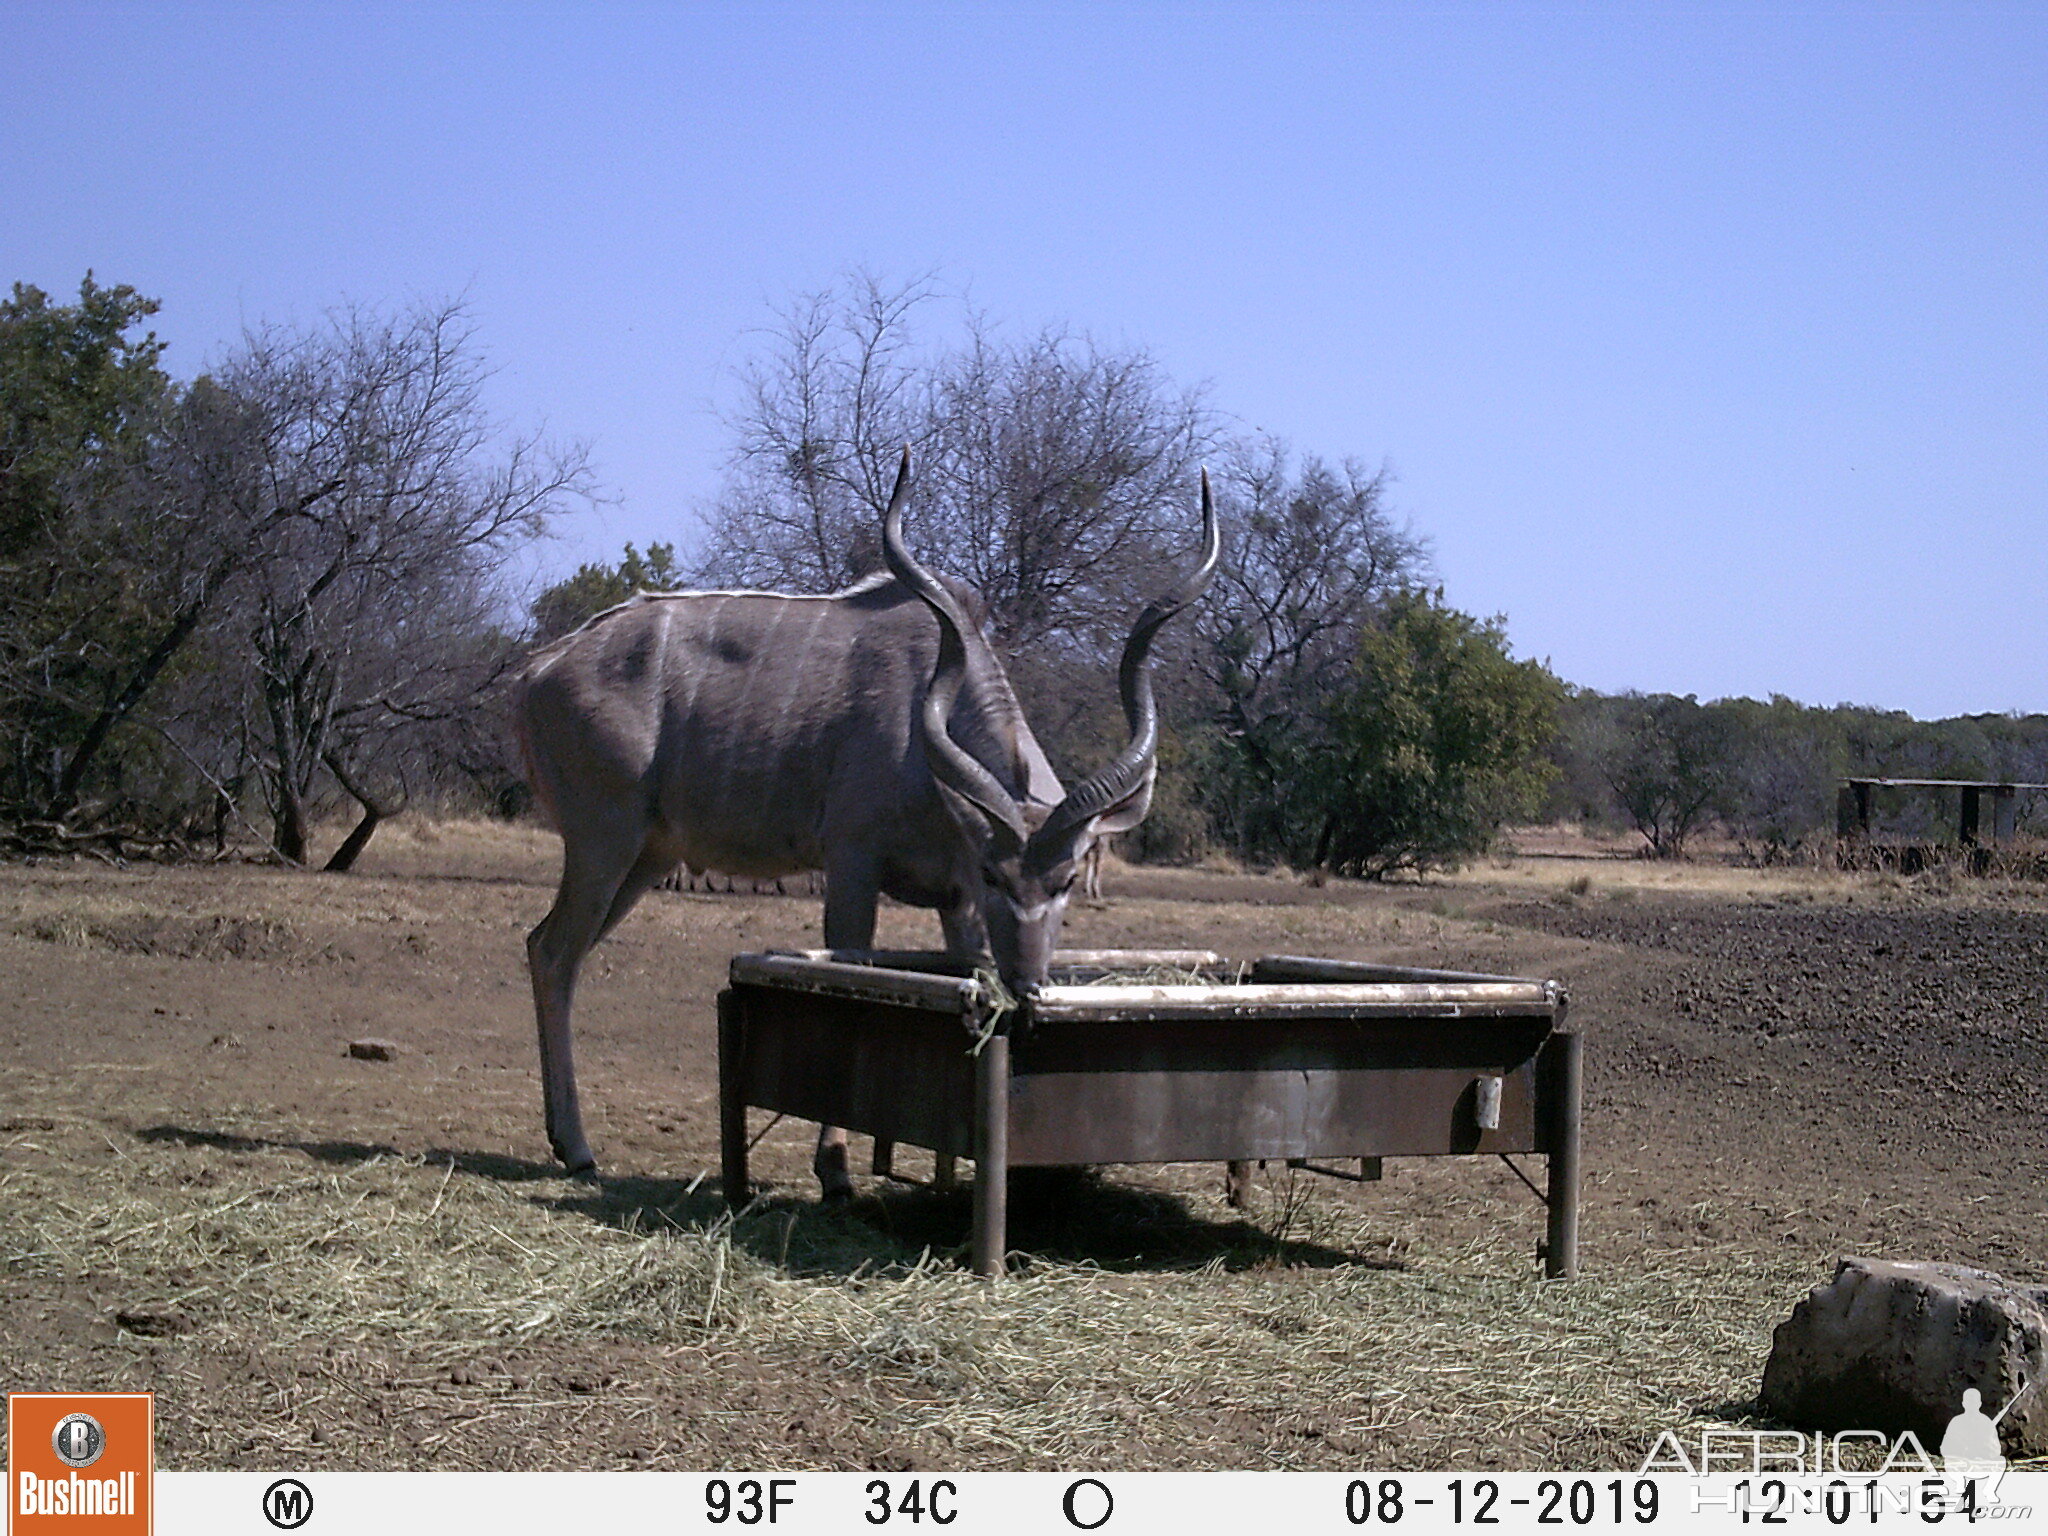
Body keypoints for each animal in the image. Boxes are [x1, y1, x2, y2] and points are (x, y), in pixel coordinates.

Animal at [516, 450, 1212, 1196]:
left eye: (1066, 882)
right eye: (998, 875)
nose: (1027, 989)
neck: (920, 723)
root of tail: (537, 671)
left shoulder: (955, 900)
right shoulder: (854, 861)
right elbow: (849, 975)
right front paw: (837, 1170)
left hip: (647, 856)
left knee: (552, 948)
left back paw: (566, 1138)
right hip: (603, 840)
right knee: (553, 950)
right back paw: (577, 1147)